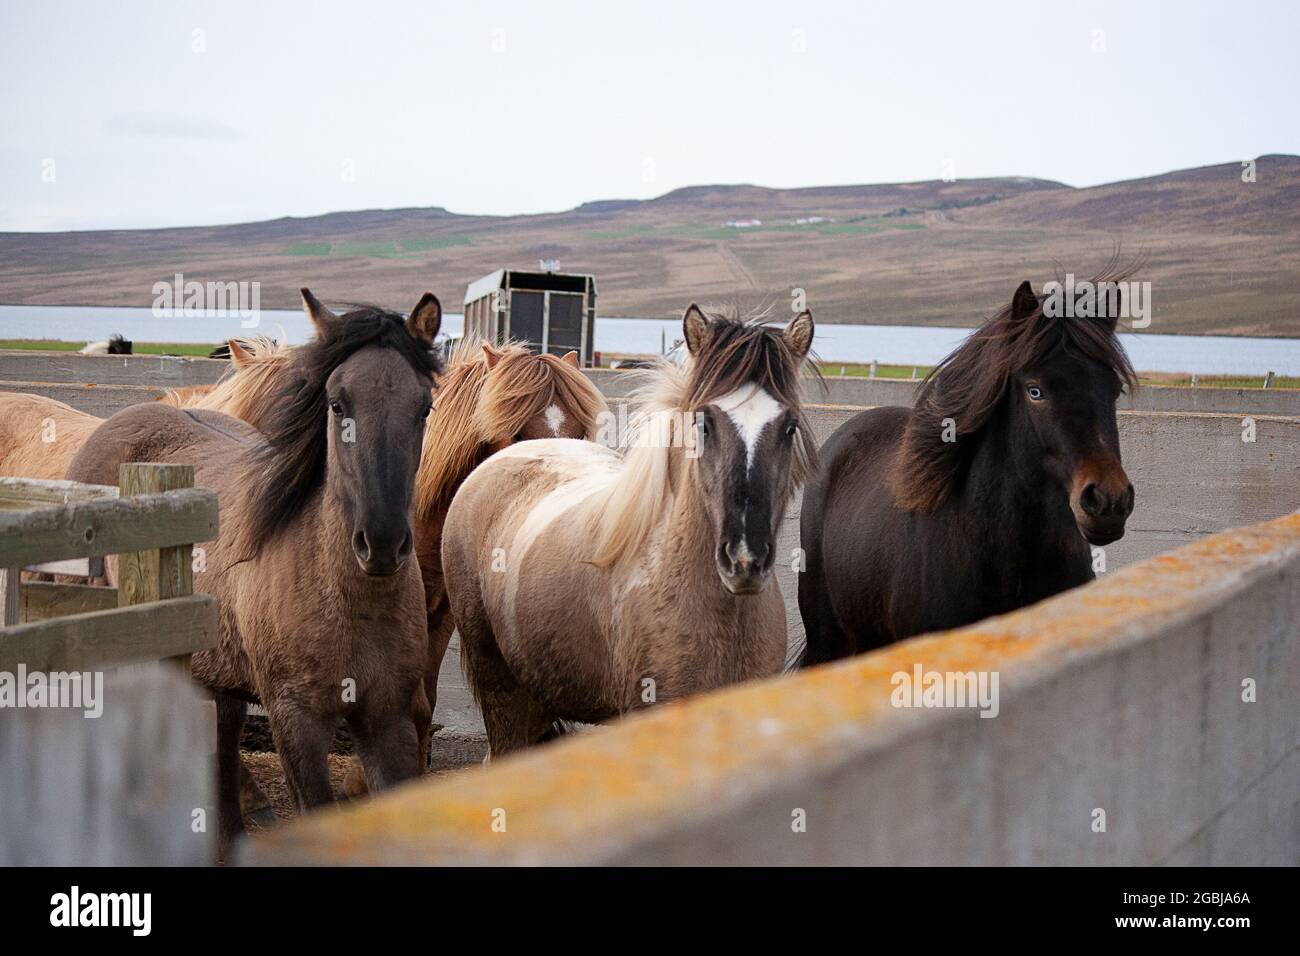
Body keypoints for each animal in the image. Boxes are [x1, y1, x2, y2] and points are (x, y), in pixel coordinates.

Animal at [65, 287, 441, 858]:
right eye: (337, 404)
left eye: (424, 407)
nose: (380, 543)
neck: (350, 599)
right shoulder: (297, 721)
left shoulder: (389, 719)